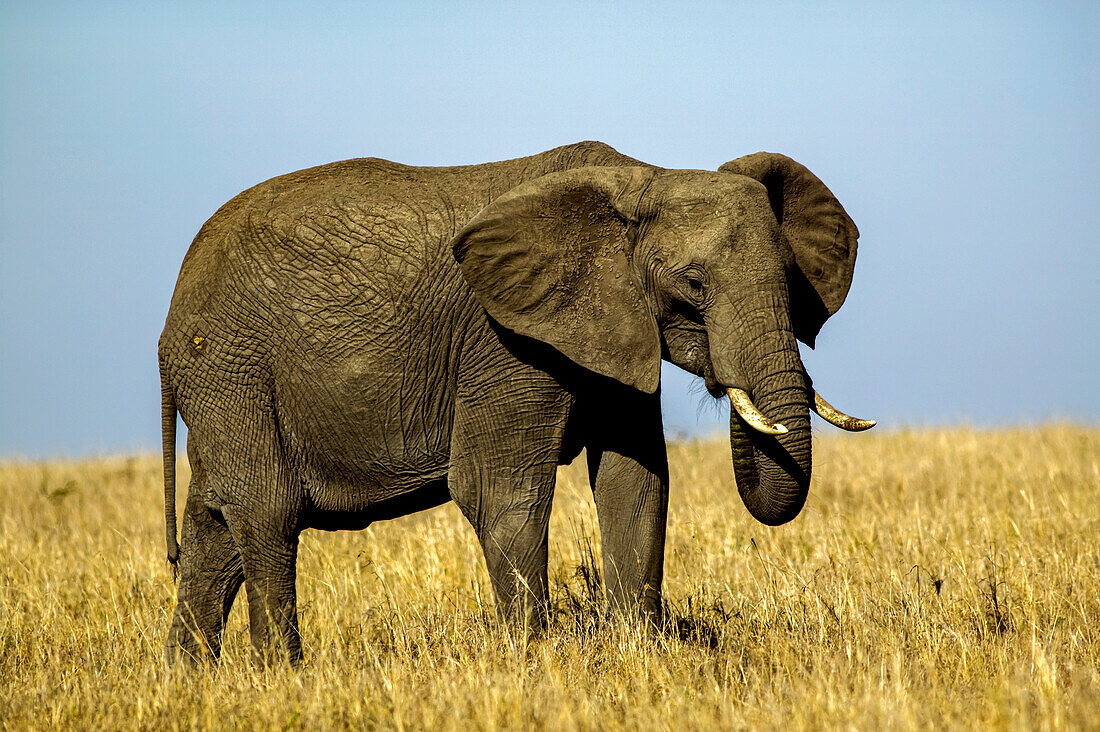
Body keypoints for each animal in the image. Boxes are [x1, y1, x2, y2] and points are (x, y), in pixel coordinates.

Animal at [157, 138, 875, 660]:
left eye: (792, 282)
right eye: (693, 285)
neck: (648, 177)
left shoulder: (611, 331)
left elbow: (635, 480)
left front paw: (643, 656)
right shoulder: (507, 342)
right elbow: (499, 490)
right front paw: (535, 663)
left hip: (221, 382)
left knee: (213, 532)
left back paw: (191, 680)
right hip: (230, 368)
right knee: (267, 512)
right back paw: (281, 674)